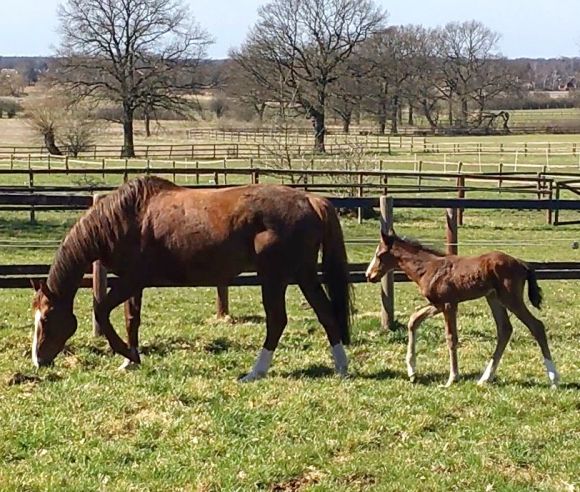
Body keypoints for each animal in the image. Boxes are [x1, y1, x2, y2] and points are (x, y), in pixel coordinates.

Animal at [31, 177, 354, 380]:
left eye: (46, 319)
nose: (38, 360)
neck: (126, 218)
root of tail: (310, 200)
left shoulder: (131, 280)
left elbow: (101, 310)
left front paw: (126, 353)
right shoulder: (132, 282)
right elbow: (131, 319)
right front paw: (129, 360)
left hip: (274, 278)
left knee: (277, 321)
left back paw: (255, 372)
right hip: (304, 274)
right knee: (326, 313)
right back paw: (341, 367)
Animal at [364, 231, 560, 388]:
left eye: (379, 254)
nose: (369, 275)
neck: (428, 268)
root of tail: (522, 263)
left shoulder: (449, 305)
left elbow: (451, 338)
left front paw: (452, 379)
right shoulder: (439, 304)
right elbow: (414, 320)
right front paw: (412, 372)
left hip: (510, 298)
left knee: (536, 326)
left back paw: (554, 379)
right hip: (494, 298)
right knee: (505, 329)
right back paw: (485, 379)